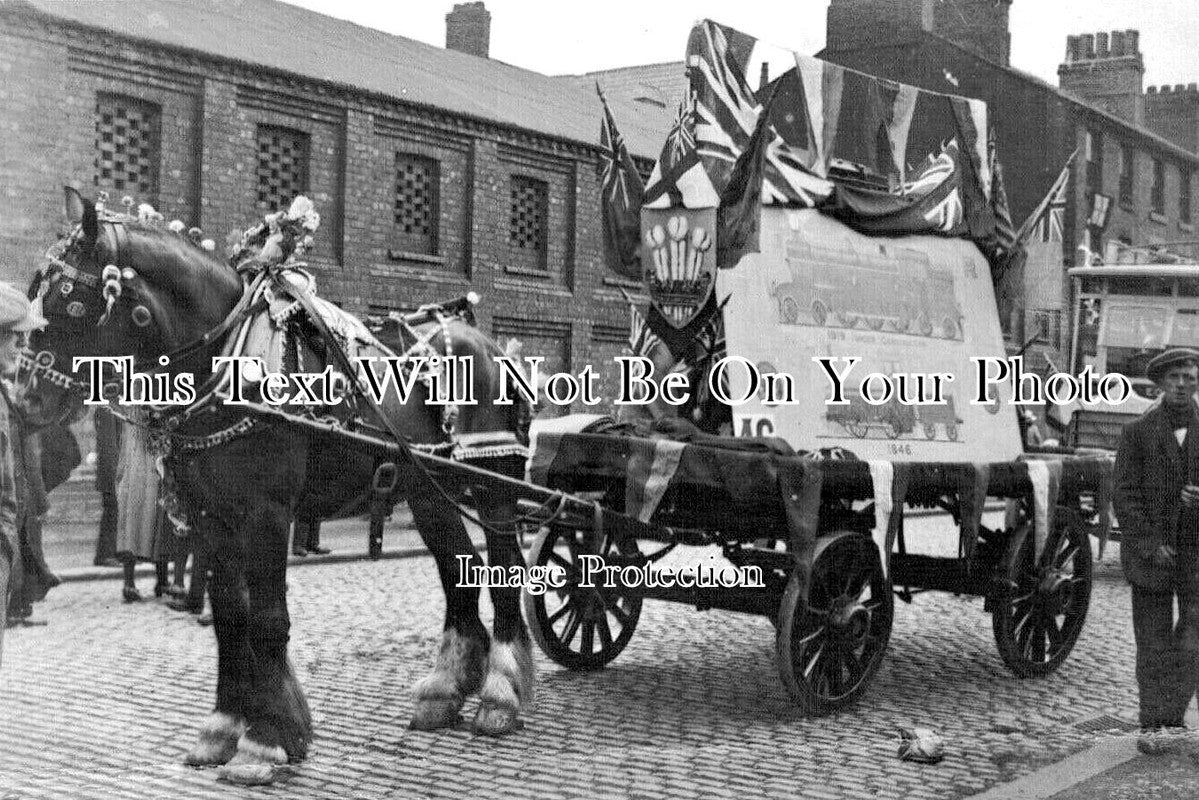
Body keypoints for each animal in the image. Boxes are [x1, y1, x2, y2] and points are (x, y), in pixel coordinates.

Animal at [21, 188, 537, 782]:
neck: (225, 357)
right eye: (34, 291)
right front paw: (224, 729)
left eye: (70, 300)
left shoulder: (266, 514)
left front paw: (265, 741)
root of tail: (487, 342)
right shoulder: (211, 518)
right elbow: (229, 617)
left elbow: (268, 620)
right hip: (430, 490)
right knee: (459, 572)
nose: (26, 398)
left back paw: (500, 695)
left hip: (494, 486)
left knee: (503, 572)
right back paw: (445, 691)